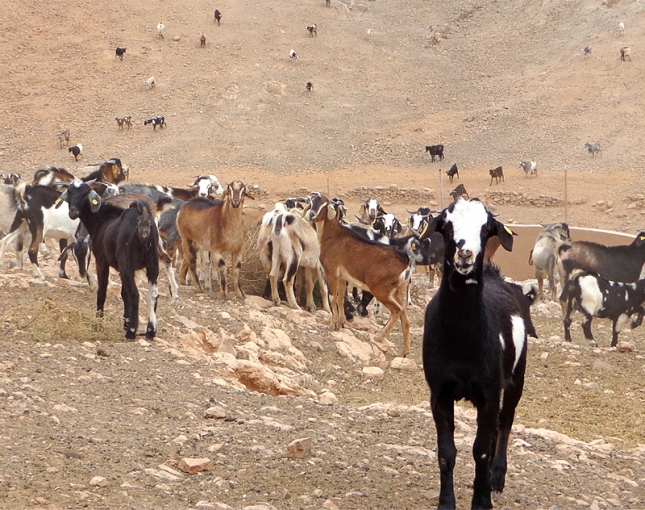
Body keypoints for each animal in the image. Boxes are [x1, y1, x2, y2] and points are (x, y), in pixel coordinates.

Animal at [57, 181, 163, 340]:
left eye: (85, 194)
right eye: (69, 193)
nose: (73, 212)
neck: (103, 219)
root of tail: (143, 221)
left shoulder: (102, 261)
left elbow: (103, 292)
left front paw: (98, 322)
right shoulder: (125, 269)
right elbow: (124, 294)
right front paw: (125, 322)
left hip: (127, 263)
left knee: (135, 294)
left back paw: (131, 332)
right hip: (152, 264)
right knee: (153, 295)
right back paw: (150, 331)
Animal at [307, 193, 424, 357]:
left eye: (324, 205)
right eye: (311, 201)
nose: (311, 215)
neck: (332, 236)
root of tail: (405, 260)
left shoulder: (331, 272)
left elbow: (332, 298)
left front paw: (332, 324)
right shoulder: (342, 277)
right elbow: (340, 298)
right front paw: (342, 322)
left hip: (382, 290)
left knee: (396, 311)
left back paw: (380, 337)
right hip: (400, 290)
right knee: (405, 318)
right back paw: (405, 351)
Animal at [421, 197, 525, 509]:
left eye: (485, 228)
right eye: (446, 226)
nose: (465, 254)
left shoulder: (489, 391)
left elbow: (480, 450)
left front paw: (481, 500)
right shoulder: (440, 393)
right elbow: (446, 452)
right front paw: (446, 502)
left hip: (516, 378)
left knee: (505, 422)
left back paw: (496, 477)